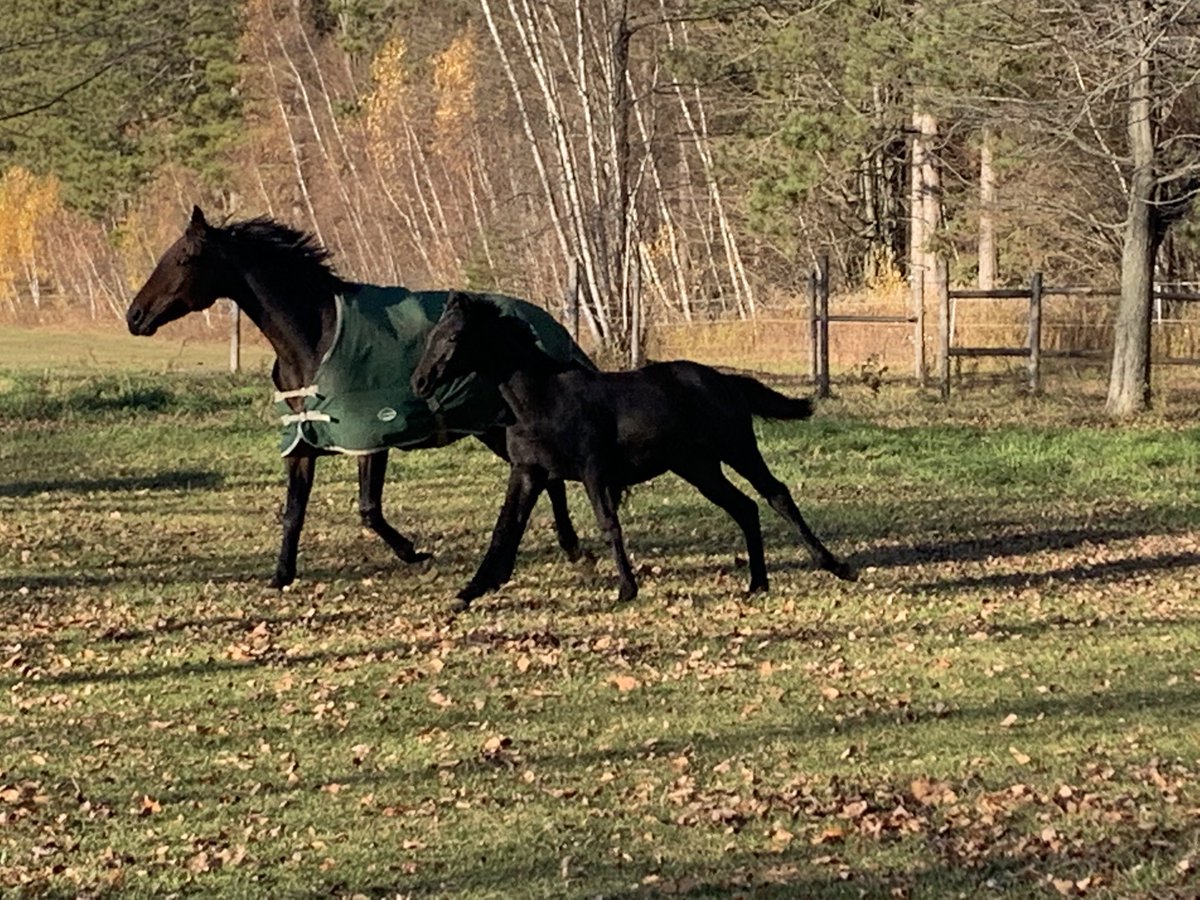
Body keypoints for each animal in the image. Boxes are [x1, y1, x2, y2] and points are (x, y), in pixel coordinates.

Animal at [126, 206, 591, 587]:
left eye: (185, 258)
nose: (135, 316)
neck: (315, 338)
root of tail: (549, 326)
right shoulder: (302, 441)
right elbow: (294, 510)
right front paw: (281, 575)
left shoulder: (371, 435)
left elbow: (369, 508)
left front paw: (414, 552)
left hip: (495, 428)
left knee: (548, 476)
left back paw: (573, 547)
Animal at [411, 290, 857, 608]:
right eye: (431, 336)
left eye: (454, 336)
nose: (420, 382)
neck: (542, 399)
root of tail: (725, 381)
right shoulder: (528, 471)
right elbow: (505, 527)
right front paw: (469, 592)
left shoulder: (593, 468)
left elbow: (608, 523)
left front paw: (626, 589)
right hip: (698, 467)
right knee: (744, 507)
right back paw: (757, 583)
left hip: (737, 449)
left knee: (775, 493)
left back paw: (836, 566)